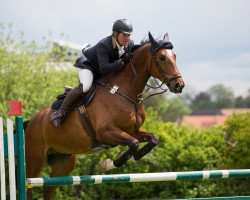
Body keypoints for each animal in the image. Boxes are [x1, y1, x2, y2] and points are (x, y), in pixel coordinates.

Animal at [24, 32, 186, 199]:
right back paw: (57, 117)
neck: (125, 92)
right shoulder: (106, 132)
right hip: (35, 160)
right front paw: (110, 163)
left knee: (48, 189)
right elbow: (133, 143)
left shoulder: (131, 131)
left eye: (174, 56)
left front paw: (131, 156)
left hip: (63, 162)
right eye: (162, 57)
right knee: (28, 185)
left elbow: (152, 139)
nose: (179, 85)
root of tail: (31, 122)